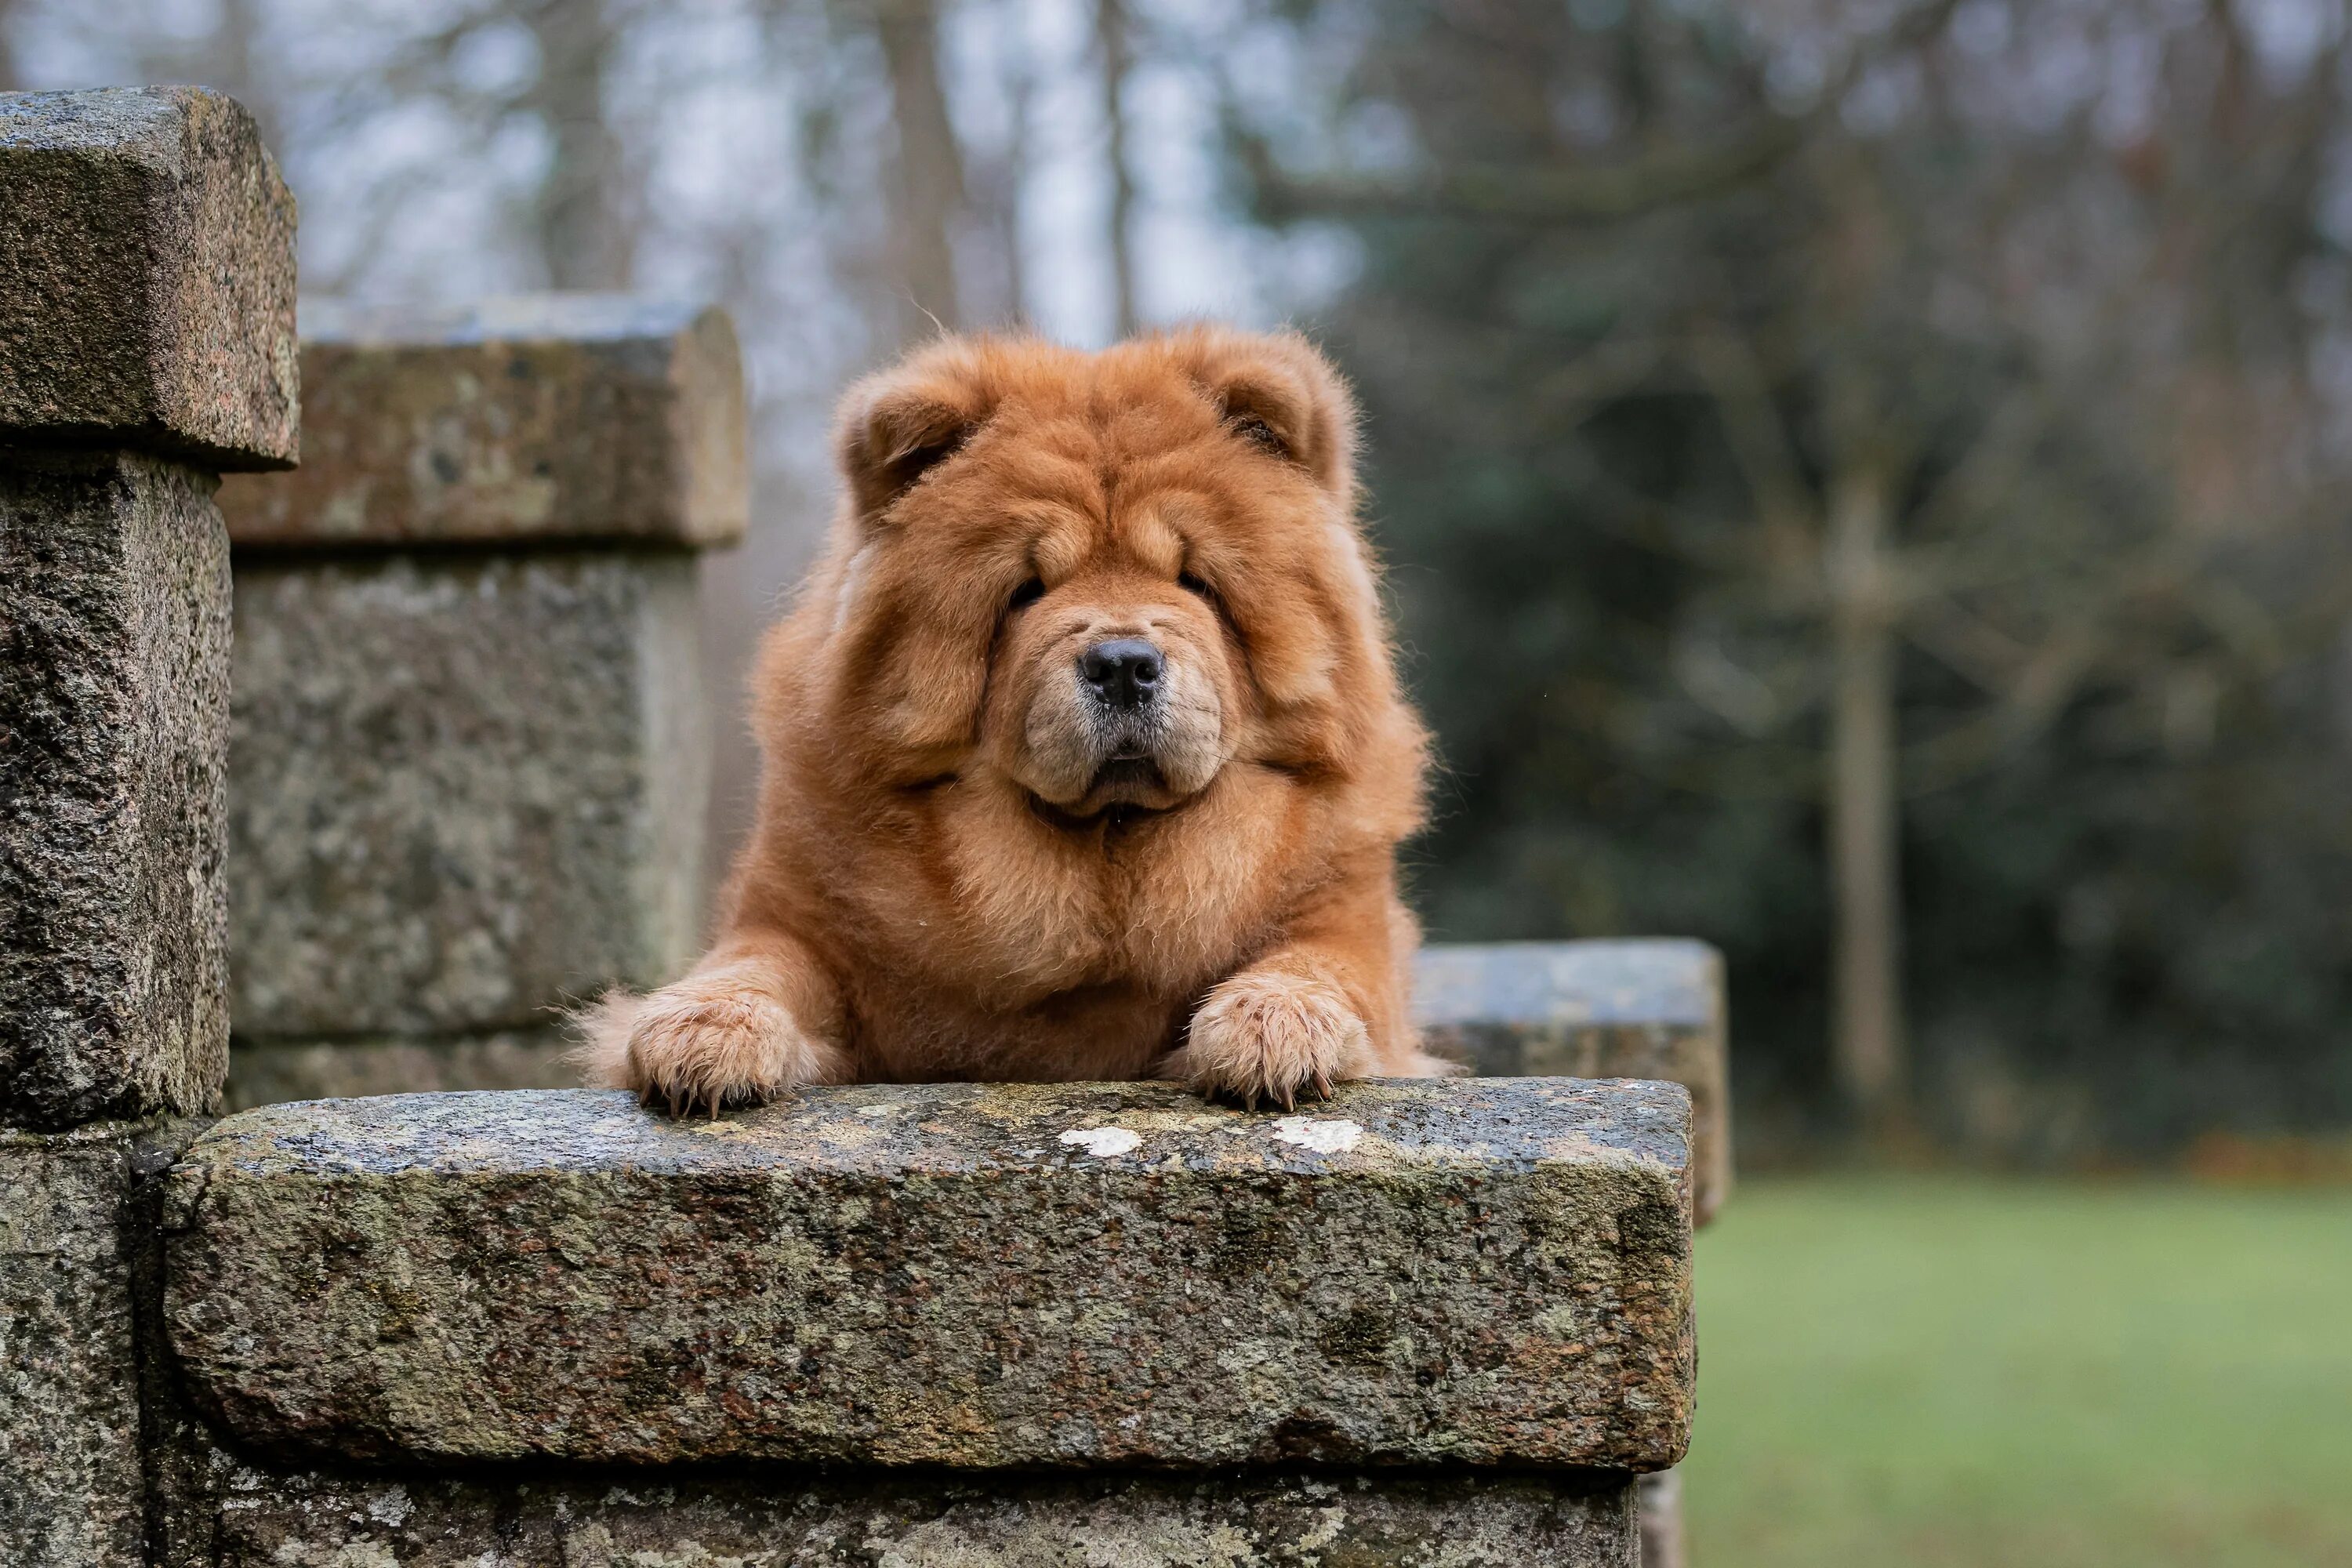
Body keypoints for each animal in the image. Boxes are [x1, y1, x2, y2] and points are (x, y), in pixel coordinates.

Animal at [579, 324, 1439, 1114]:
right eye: (1027, 591)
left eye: (1195, 583)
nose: (1122, 662)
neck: (1102, 865)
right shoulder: (798, 916)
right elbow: (757, 962)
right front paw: (702, 1031)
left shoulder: (1345, 913)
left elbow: (1323, 963)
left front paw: (1273, 1025)